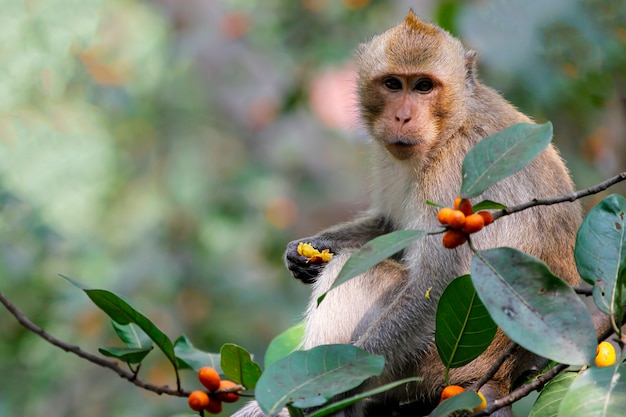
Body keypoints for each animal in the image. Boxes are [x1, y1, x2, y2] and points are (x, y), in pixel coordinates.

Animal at [232, 9, 584, 416]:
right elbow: (391, 226)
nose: (402, 117)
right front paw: (307, 250)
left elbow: (436, 285)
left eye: (423, 87)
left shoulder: (454, 177)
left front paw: (336, 384)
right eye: (392, 84)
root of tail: (501, 375)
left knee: (358, 272)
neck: (450, 128)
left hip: (433, 362)